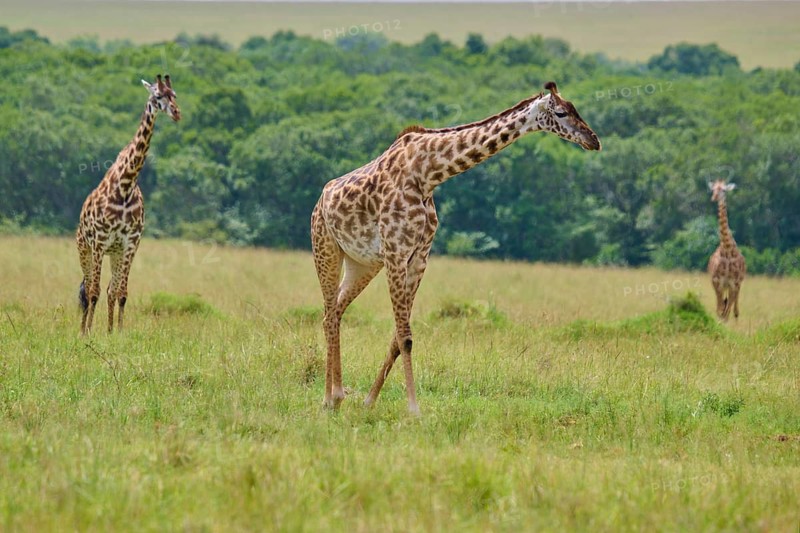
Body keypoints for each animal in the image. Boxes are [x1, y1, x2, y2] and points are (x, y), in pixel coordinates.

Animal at [76, 74, 180, 335]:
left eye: (174, 95)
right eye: (158, 95)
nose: (176, 113)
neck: (125, 185)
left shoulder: (131, 243)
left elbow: (121, 293)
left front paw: (119, 332)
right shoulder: (100, 241)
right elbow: (93, 292)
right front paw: (88, 332)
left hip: (115, 252)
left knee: (109, 290)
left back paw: (108, 329)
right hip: (85, 248)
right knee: (88, 289)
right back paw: (83, 329)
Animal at [311, 81, 600, 413]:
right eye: (562, 112)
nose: (594, 140)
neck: (428, 174)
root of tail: (320, 200)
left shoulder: (418, 257)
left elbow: (398, 337)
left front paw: (370, 401)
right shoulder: (396, 251)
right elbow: (405, 336)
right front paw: (414, 410)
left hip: (362, 264)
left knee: (335, 311)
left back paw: (339, 395)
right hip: (326, 248)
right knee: (328, 313)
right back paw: (328, 398)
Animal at [707, 180, 746, 321]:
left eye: (724, 190)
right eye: (713, 190)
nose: (714, 198)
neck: (728, 249)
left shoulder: (735, 282)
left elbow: (726, 309)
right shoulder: (717, 281)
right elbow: (720, 309)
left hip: (735, 285)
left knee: (731, 305)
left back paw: (736, 314)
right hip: (723, 285)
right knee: (723, 304)